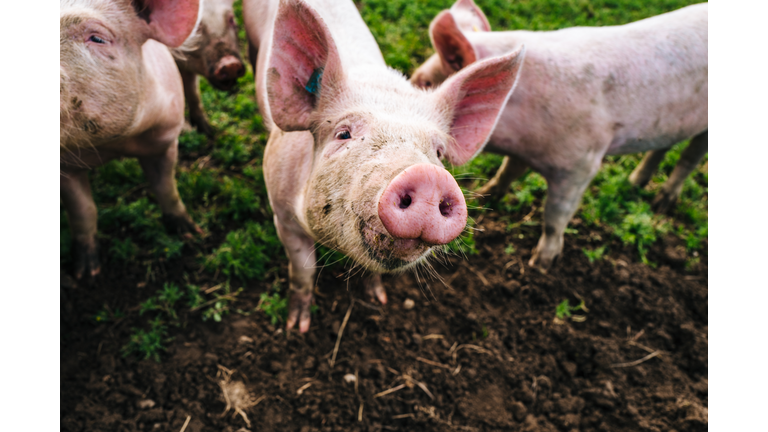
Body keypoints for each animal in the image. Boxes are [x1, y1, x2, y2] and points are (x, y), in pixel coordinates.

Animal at [60, 0, 204, 280]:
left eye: (97, 38)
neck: (113, 145)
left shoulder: (165, 138)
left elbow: (165, 187)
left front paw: (191, 233)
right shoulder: (66, 166)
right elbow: (83, 210)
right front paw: (86, 273)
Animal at [243, 0, 524, 332]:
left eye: (439, 152)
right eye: (344, 133)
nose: (428, 176)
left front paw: (378, 299)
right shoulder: (282, 215)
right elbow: (304, 270)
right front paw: (297, 326)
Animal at [414, 0, 708, 270]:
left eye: (424, 83)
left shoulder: (581, 164)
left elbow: (555, 215)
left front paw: (540, 264)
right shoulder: (523, 152)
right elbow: (508, 171)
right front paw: (486, 194)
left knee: (690, 157)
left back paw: (661, 203)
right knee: (664, 146)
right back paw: (634, 183)